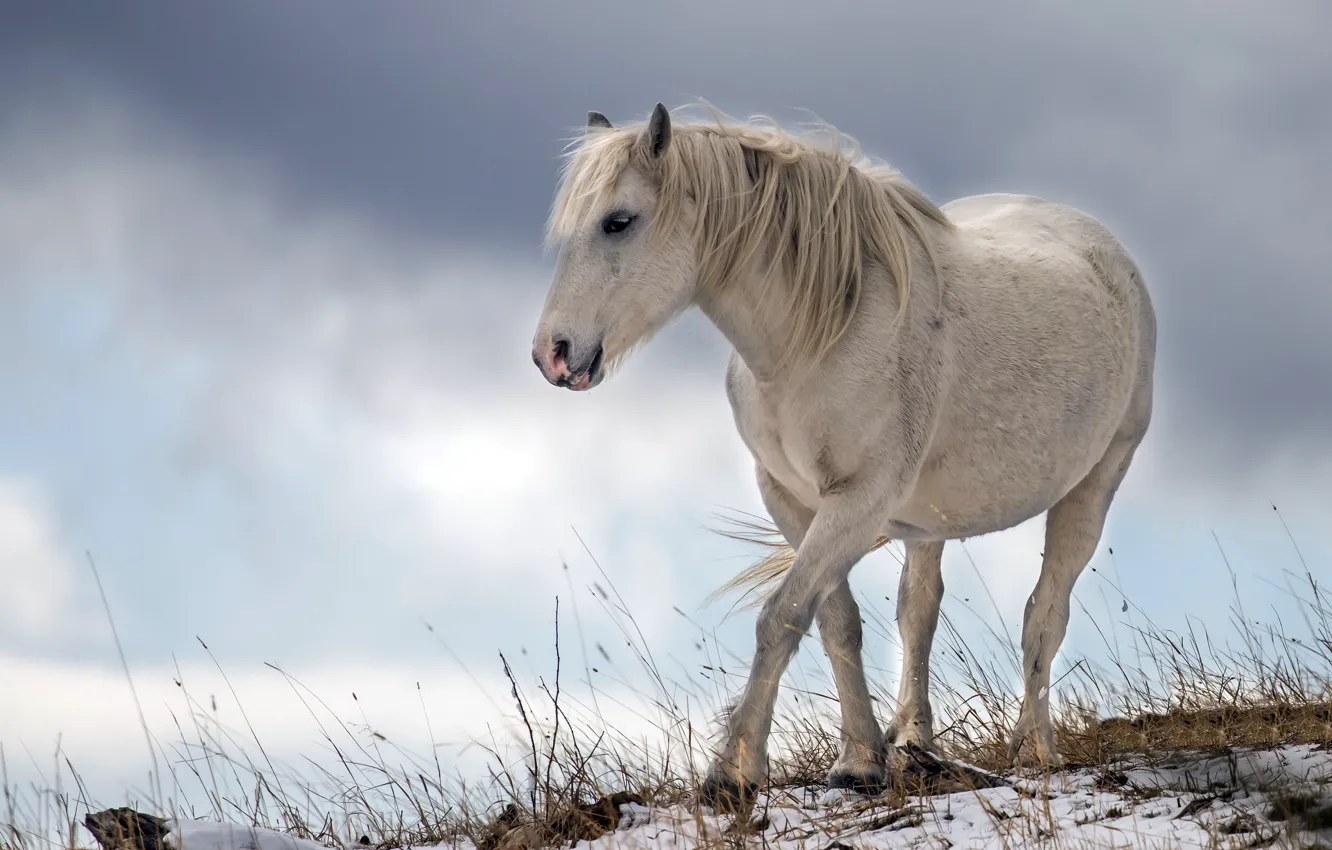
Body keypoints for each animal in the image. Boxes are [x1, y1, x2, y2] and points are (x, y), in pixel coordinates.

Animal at [530, 102, 1156, 807]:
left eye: (618, 221)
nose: (552, 353)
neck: (823, 328)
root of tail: (1105, 249)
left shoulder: (858, 501)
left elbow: (781, 616)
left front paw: (733, 773)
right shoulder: (792, 499)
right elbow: (837, 621)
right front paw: (860, 761)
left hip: (1094, 484)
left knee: (1044, 613)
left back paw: (1035, 750)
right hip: (929, 523)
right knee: (919, 611)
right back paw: (914, 742)